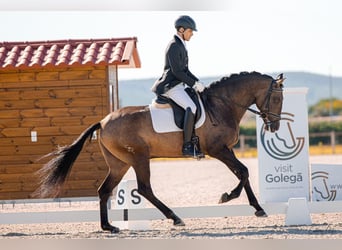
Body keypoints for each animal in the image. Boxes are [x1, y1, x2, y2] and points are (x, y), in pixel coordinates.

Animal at [34, 71, 286, 233]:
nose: (274, 127)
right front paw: (227, 197)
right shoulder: (218, 150)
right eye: (276, 97)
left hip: (119, 163)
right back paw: (175, 218)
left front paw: (258, 208)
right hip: (139, 158)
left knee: (105, 190)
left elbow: (242, 174)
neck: (222, 105)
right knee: (144, 189)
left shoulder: (226, 150)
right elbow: (243, 172)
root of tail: (103, 122)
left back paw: (109, 226)